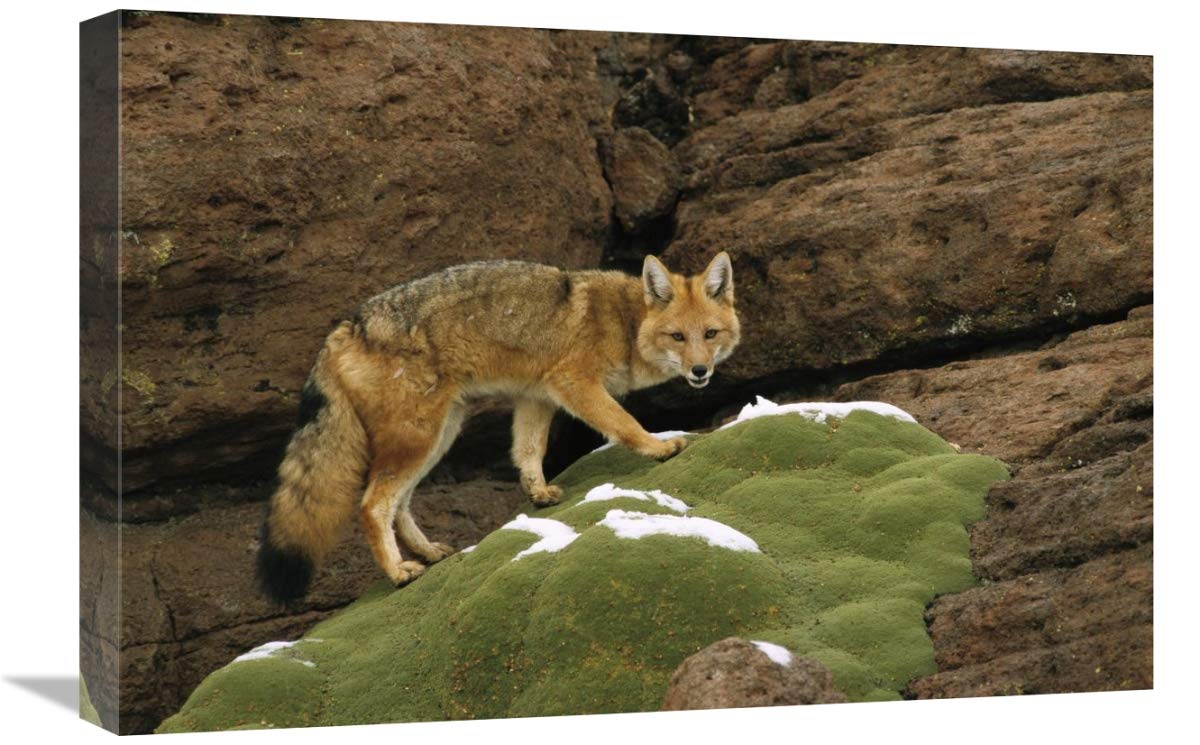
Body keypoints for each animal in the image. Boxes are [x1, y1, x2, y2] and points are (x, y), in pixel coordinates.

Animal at [256, 252, 740, 603]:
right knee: (372, 505)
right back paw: (398, 572)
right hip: (420, 437)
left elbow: (527, 451)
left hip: (438, 435)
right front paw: (657, 447)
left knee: (400, 504)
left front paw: (538, 494)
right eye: (678, 337)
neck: (624, 320)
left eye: (710, 334)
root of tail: (344, 328)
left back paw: (427, 553)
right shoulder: (574, 383)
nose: (700, 372)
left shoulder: (537, 395)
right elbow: (623, 423)